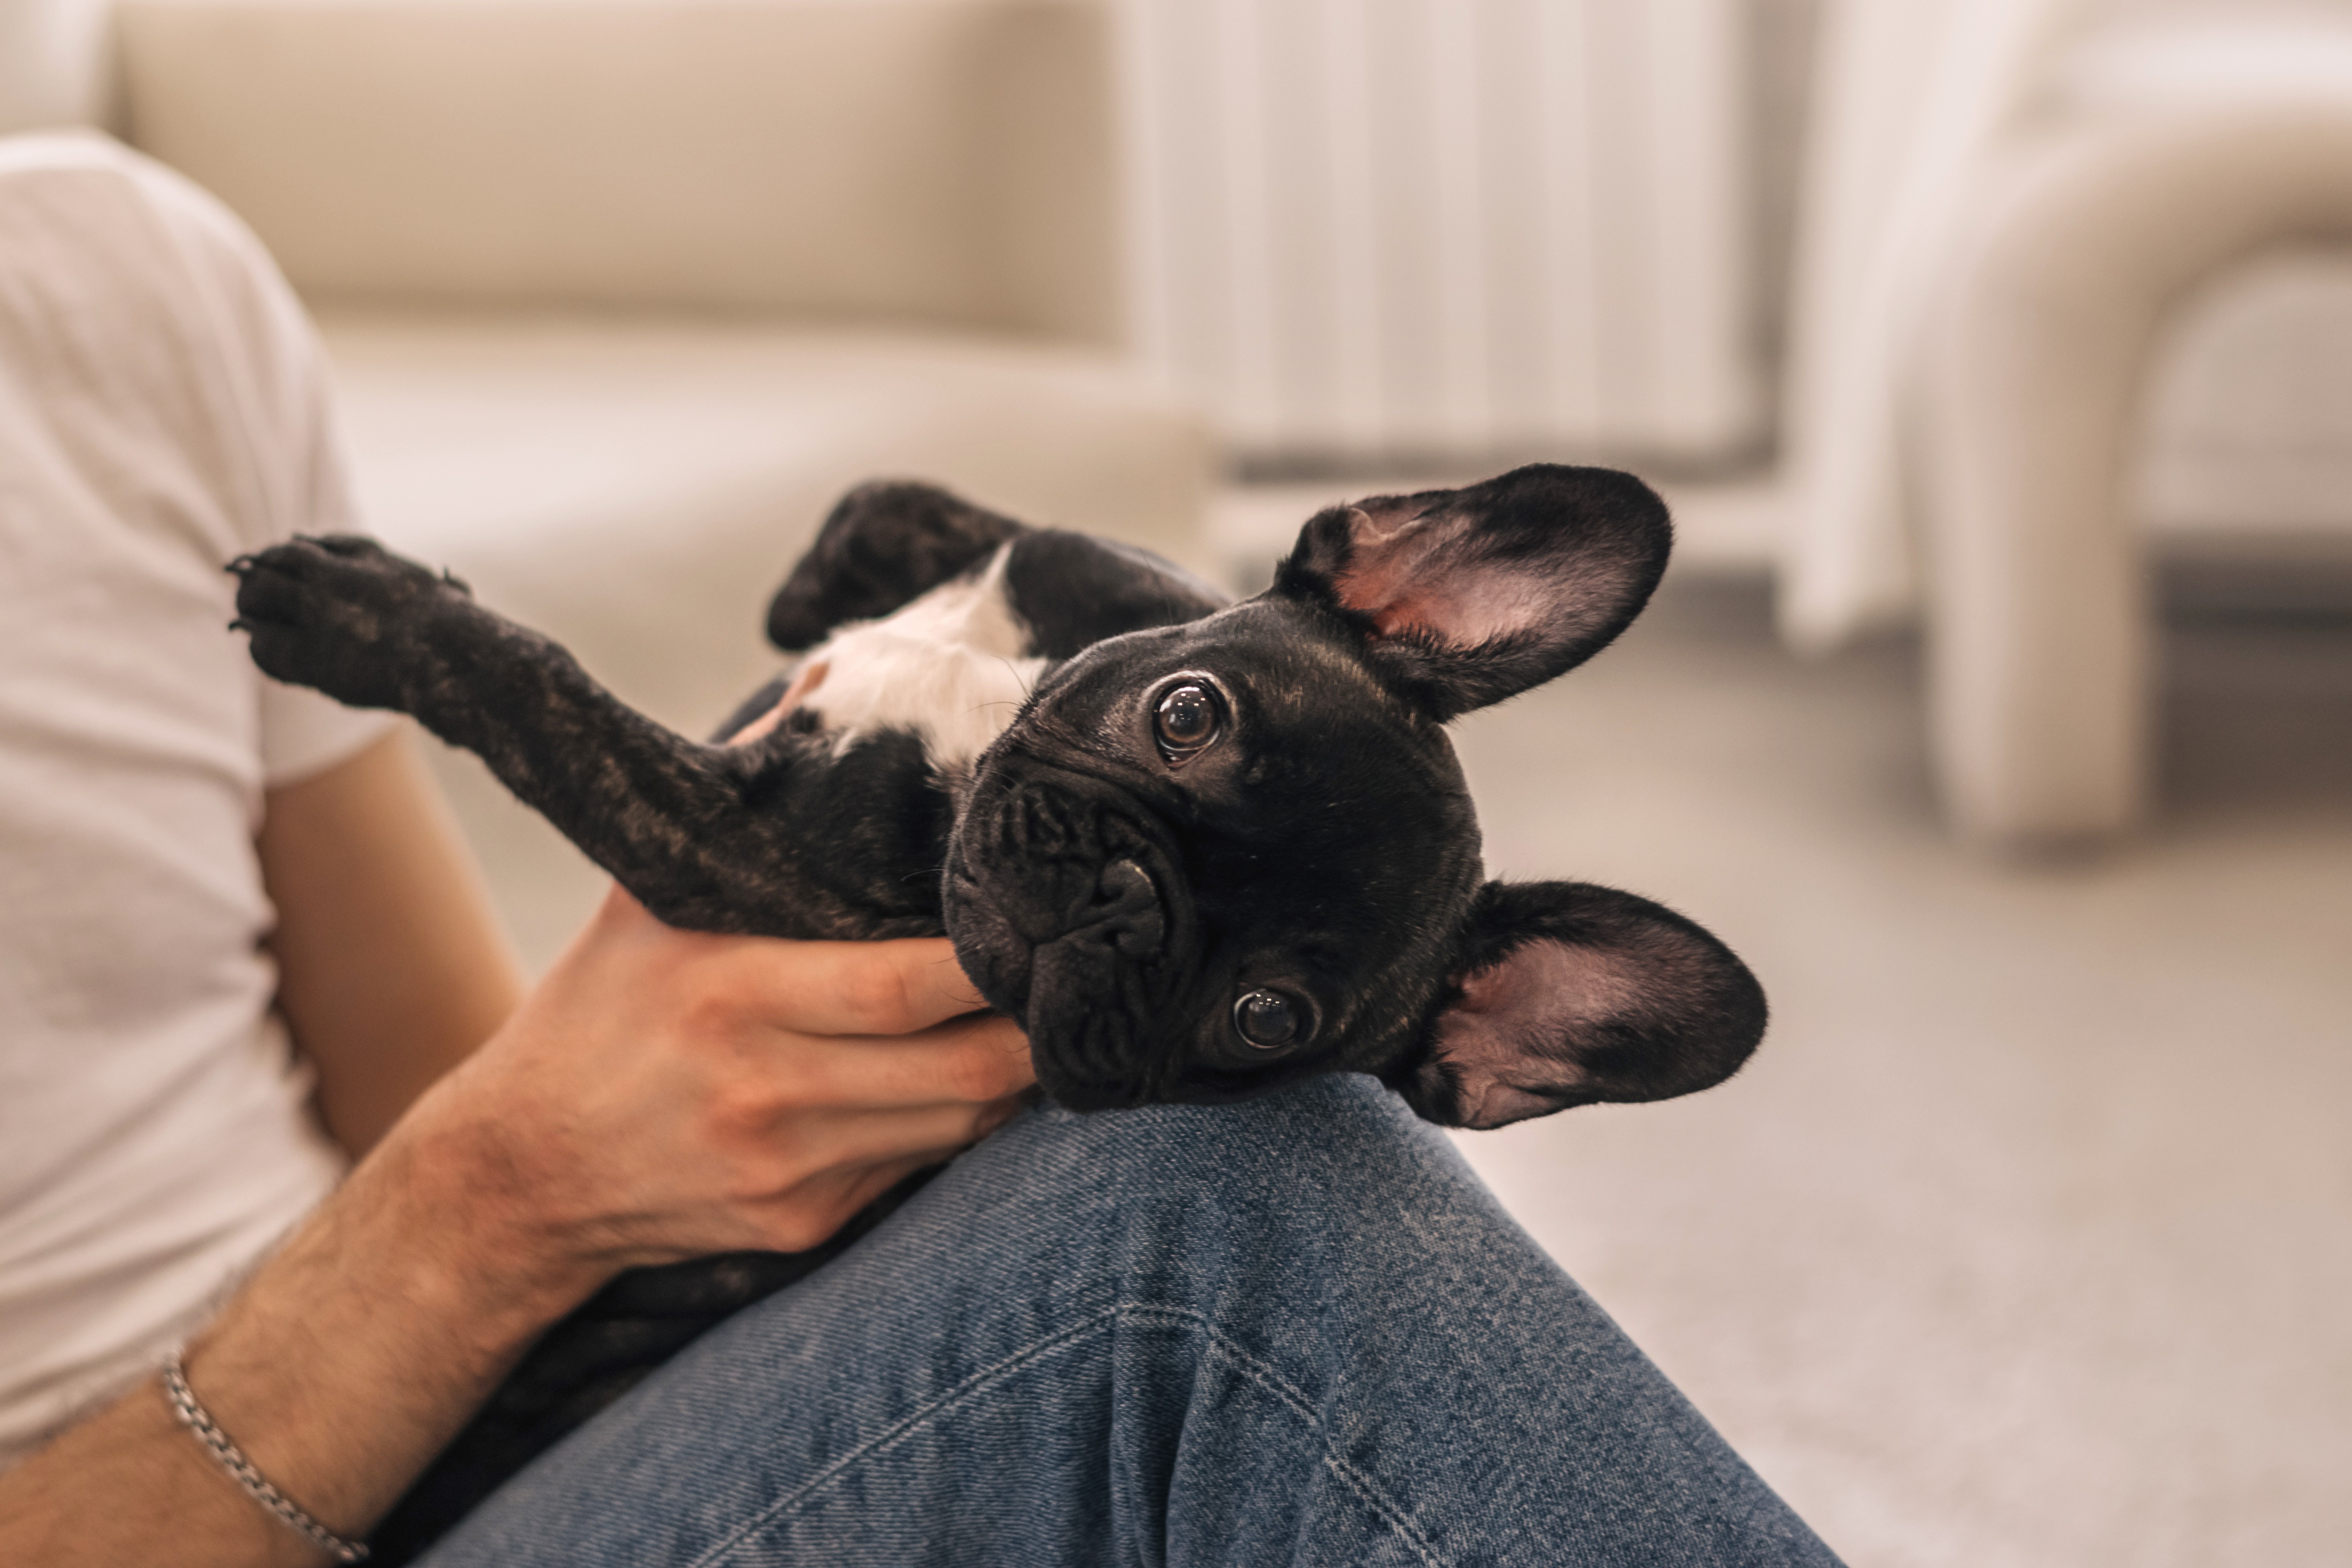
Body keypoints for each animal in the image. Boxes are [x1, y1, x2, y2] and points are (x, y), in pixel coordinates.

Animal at [229, 463, 1769, 1561]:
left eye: (1265, 1018)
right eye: (1186, 714)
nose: (1126, 904)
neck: (976, 726)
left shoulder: (732, 853)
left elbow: (539, 691)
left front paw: (357, 617)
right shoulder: (1079, 574)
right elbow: (915, 504)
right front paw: (821, 588)